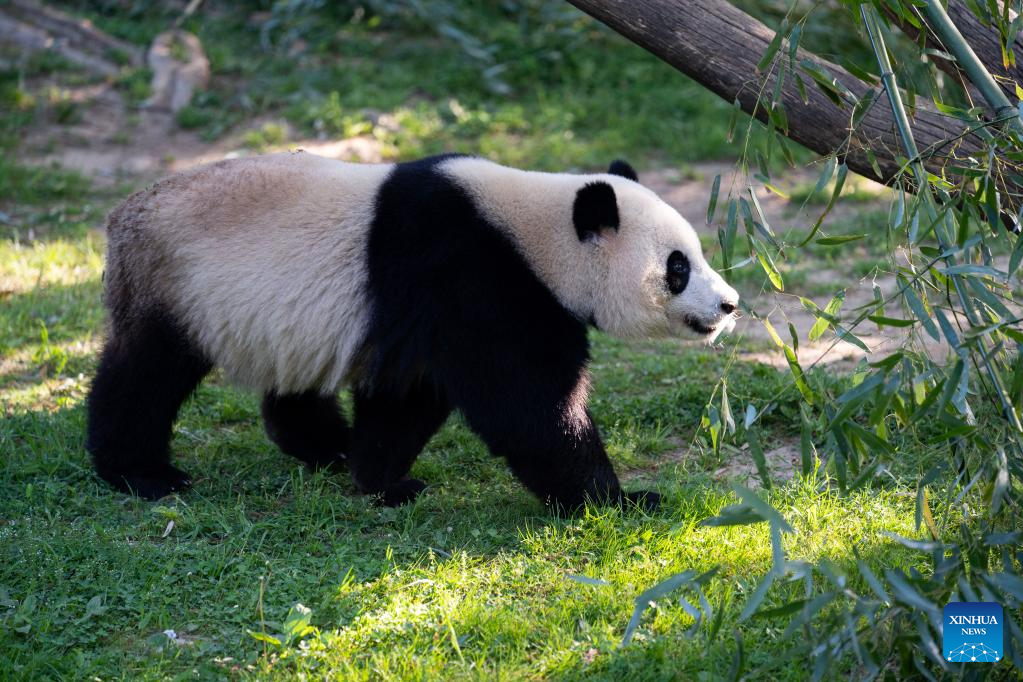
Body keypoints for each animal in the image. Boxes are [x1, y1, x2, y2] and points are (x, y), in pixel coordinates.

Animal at [85, 150, 736, 511]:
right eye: (678, 267)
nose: (729, 304)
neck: (537, 230)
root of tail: (119, 217)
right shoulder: (472, 274)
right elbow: (529, 408)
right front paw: (622, 501)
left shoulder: (427, 312)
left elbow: (409, 397)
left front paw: (378, 478)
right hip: (177, 285)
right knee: (145, 375)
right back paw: (141, 472)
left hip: (280, 317)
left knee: (292, 378)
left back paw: (327, 445)